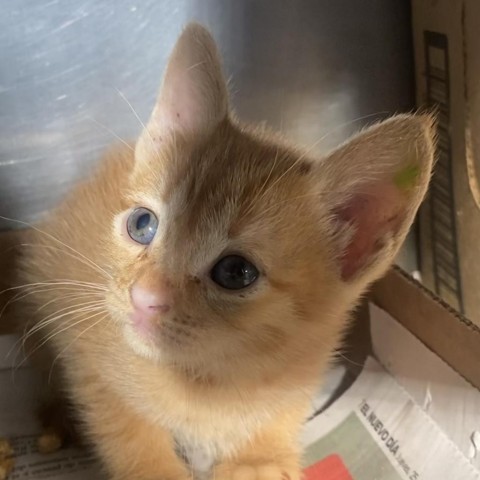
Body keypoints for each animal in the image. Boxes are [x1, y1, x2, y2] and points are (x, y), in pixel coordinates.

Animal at [15, 24, 436, 480]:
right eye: (143, 225)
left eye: (236, 272)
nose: (144, 298)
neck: (219, 381)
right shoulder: (91, 363)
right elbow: (126, 428)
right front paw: (156, 468)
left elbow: (280, 415)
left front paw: (261, 458)